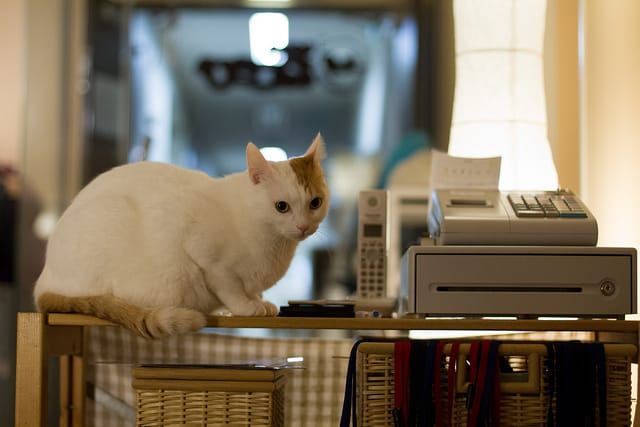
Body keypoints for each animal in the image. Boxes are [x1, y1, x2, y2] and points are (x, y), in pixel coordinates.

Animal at [33, 134, 330, 338]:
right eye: (282, 207)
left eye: (315, 203)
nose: (303, 226)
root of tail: (43, 282)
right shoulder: (207, 258)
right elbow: (230, 289)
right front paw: (246, 307)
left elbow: (252, 290)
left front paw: (258, 301)